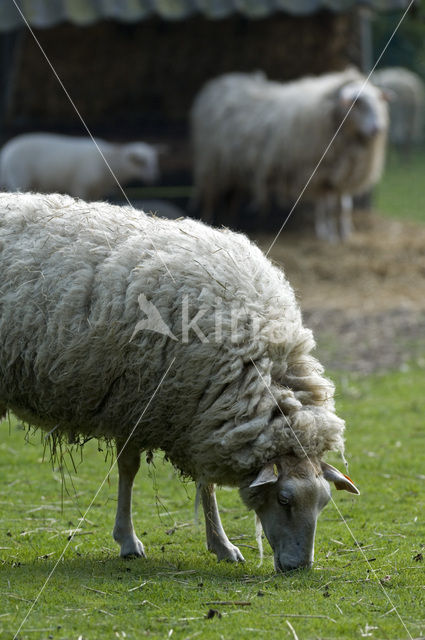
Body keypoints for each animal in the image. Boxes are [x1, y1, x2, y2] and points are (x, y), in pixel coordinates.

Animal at [0, 134, 161, 202]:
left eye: (154, 161)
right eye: (141, 162)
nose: (153, 178)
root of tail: (6, 152)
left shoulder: (97, 190)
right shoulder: (80, 185)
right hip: (19, 178)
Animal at [0, 192, 358, 572]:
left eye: (323, 503)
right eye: (285, 500)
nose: (299, 567)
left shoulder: (192, 411)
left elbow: (205, 483)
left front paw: (221, 545)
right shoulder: (141, 399)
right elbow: (131, 468)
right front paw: (128, 540)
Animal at [191, 68, 388, 242]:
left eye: (377, 102)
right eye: (357, 103)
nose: (377, 129)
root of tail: (219, 82)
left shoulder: (343, 175)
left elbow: (343, 207)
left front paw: (345, 234)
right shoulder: (319, 173)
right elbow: (325, 207)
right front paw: (327, 235)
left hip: (233, 170)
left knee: (231, 200)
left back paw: (229, 225)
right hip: (211, 164)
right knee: (209, 199)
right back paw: (206, 223)